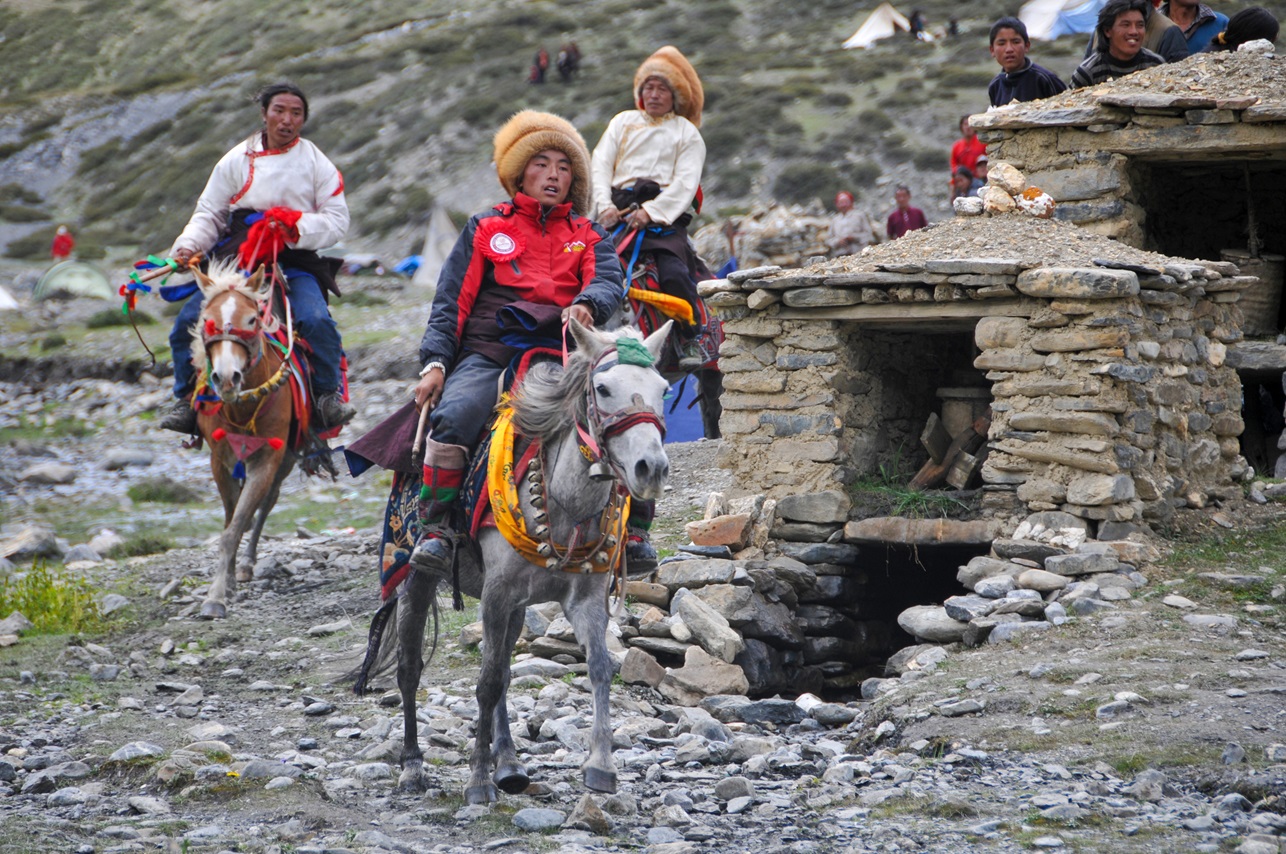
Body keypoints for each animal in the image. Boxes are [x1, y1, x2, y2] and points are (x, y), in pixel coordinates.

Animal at [190, 263, 294, 617]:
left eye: (251, 319)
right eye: (206, 319)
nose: (226, 378)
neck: (242, 405)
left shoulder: (268, 459)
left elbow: (236, 526)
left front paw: (216, 596)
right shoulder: (220, 460)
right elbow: (230, 520)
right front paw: (227, 584)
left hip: (288, 459)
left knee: (268, 502)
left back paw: (249, 563)